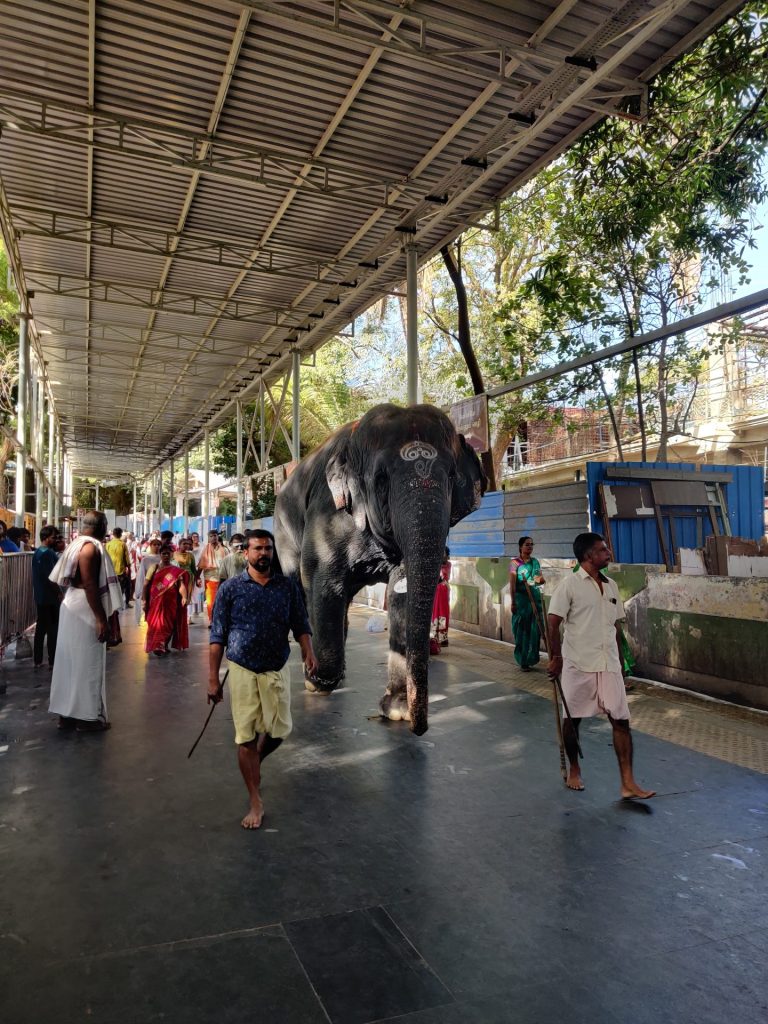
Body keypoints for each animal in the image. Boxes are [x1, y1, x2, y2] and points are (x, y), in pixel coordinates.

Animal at [273, 403, 487, 735]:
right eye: (382, 477)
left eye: (452, 476)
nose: (419, 729)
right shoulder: (327, 514)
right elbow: (322, 582)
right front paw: (316, 682)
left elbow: (402, 592)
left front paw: (397, 711)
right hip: (283, 529)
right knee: (302, 587)